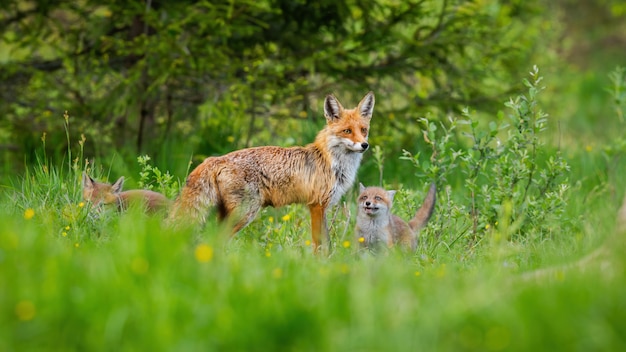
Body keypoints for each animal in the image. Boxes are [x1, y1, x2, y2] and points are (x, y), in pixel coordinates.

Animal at [171, 91, 372, 250]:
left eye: (363, 130)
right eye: (347, 131)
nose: (365, 145)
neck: (332, 162)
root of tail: (215, 159)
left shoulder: (322, 207)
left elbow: (326, 243)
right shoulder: (317, 205)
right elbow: (320, 245)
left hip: (229, 214)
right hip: (245, 213)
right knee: (215, 241)